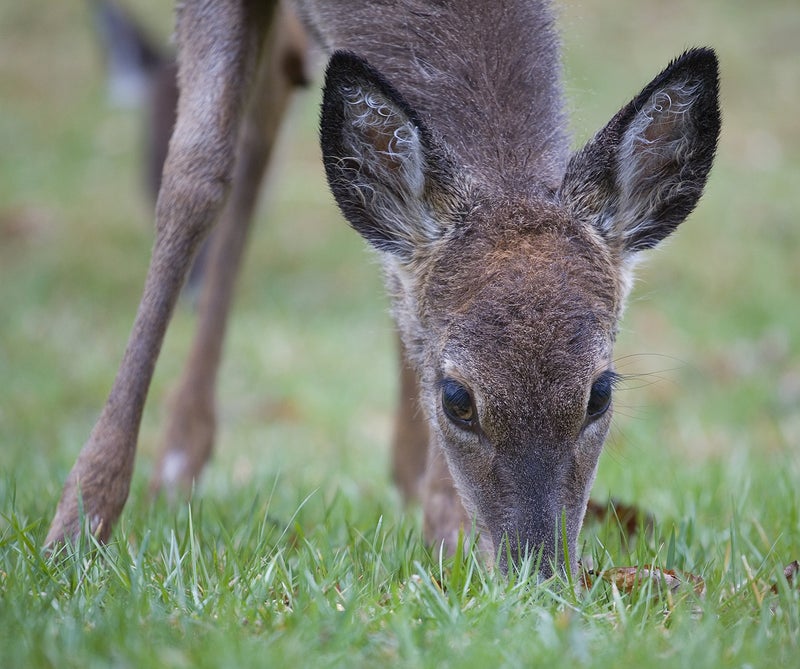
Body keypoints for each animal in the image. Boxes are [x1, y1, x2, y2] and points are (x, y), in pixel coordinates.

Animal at [46, 0, 720, 580]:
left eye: (600, 394)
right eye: (457, 399)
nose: (538, 571)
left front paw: (447, 529)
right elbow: (196, 174)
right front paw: (78, 523)